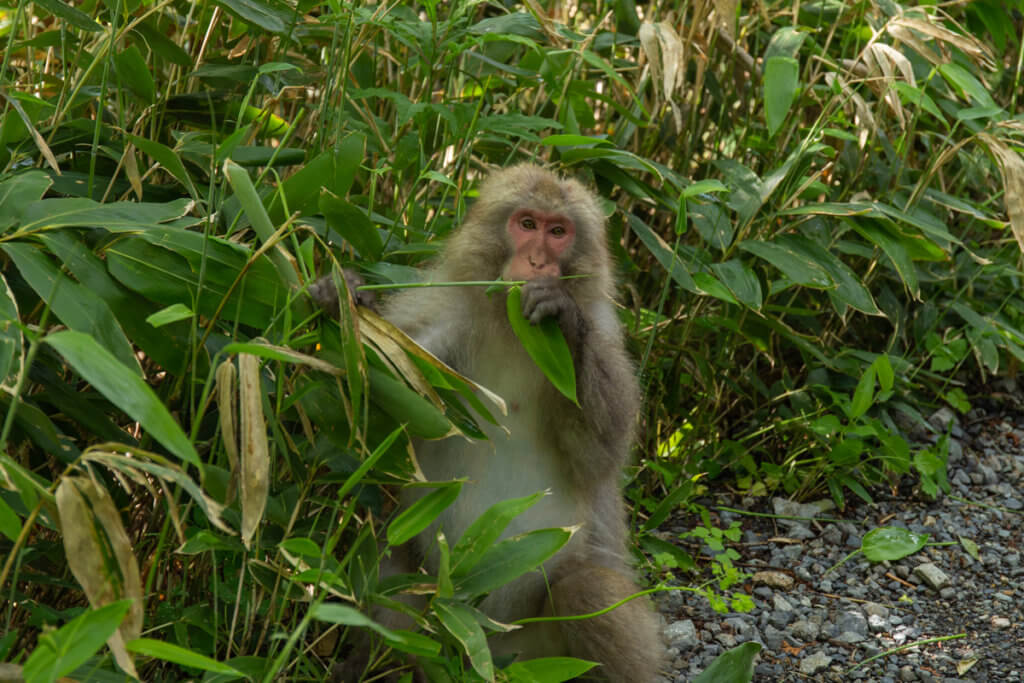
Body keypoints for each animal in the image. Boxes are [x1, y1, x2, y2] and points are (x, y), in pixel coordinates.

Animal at [311, 165, 663, 683]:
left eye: (559, 232)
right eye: (527, 224)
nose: (537, 261)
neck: (510, 324)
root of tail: (484, 646)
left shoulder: (606, 333)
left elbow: (600, 458)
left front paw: (563, 316)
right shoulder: (441, 317)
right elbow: (390, 416)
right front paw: (341, 302)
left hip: (540, 652)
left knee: (587, 590)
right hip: (439, 617)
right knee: (388, 563)